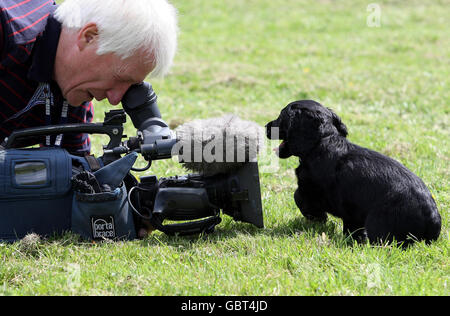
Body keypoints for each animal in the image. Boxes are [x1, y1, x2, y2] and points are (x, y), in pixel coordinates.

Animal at [266, 100, 442, 246]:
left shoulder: (311, 189)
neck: (323, 143)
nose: (266, 126)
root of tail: (432, 219)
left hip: (378, 225)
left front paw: (318, 219)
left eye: (281, 116)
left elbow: (299, 197)